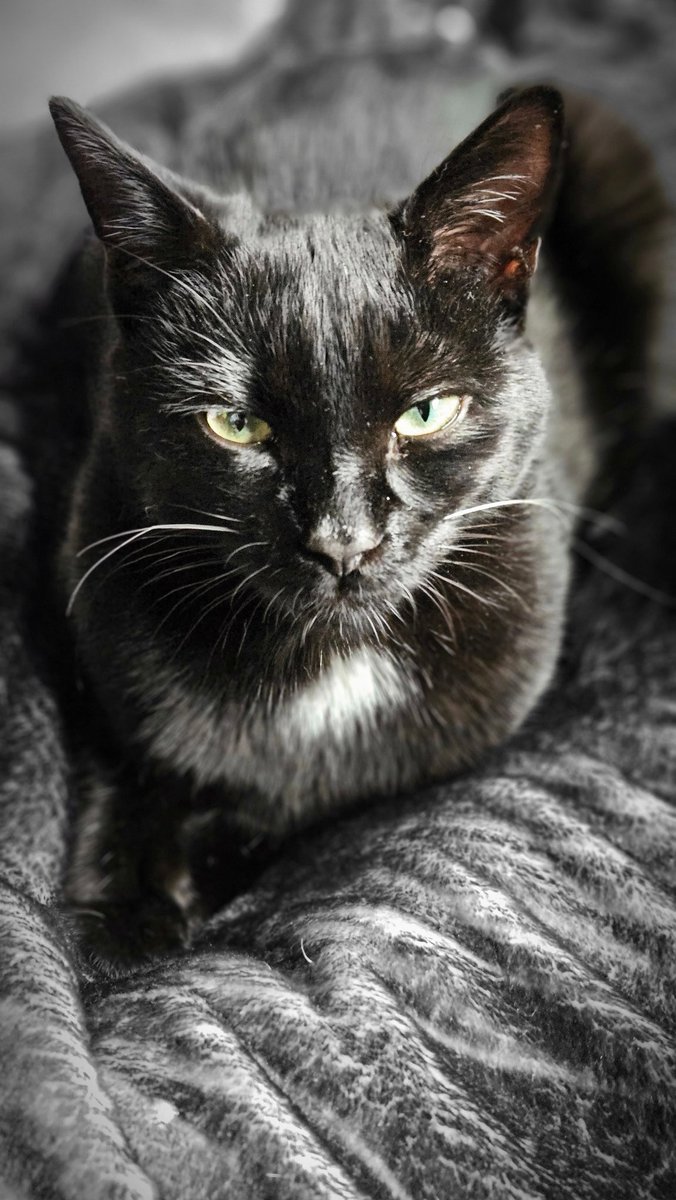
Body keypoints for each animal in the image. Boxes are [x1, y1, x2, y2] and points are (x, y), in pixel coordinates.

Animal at [47, 60, 667, 969]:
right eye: (237, 424)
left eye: (427, 413)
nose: (343, 542)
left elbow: (319, 811)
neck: (331, 669)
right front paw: (121, 922)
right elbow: (122, 768)